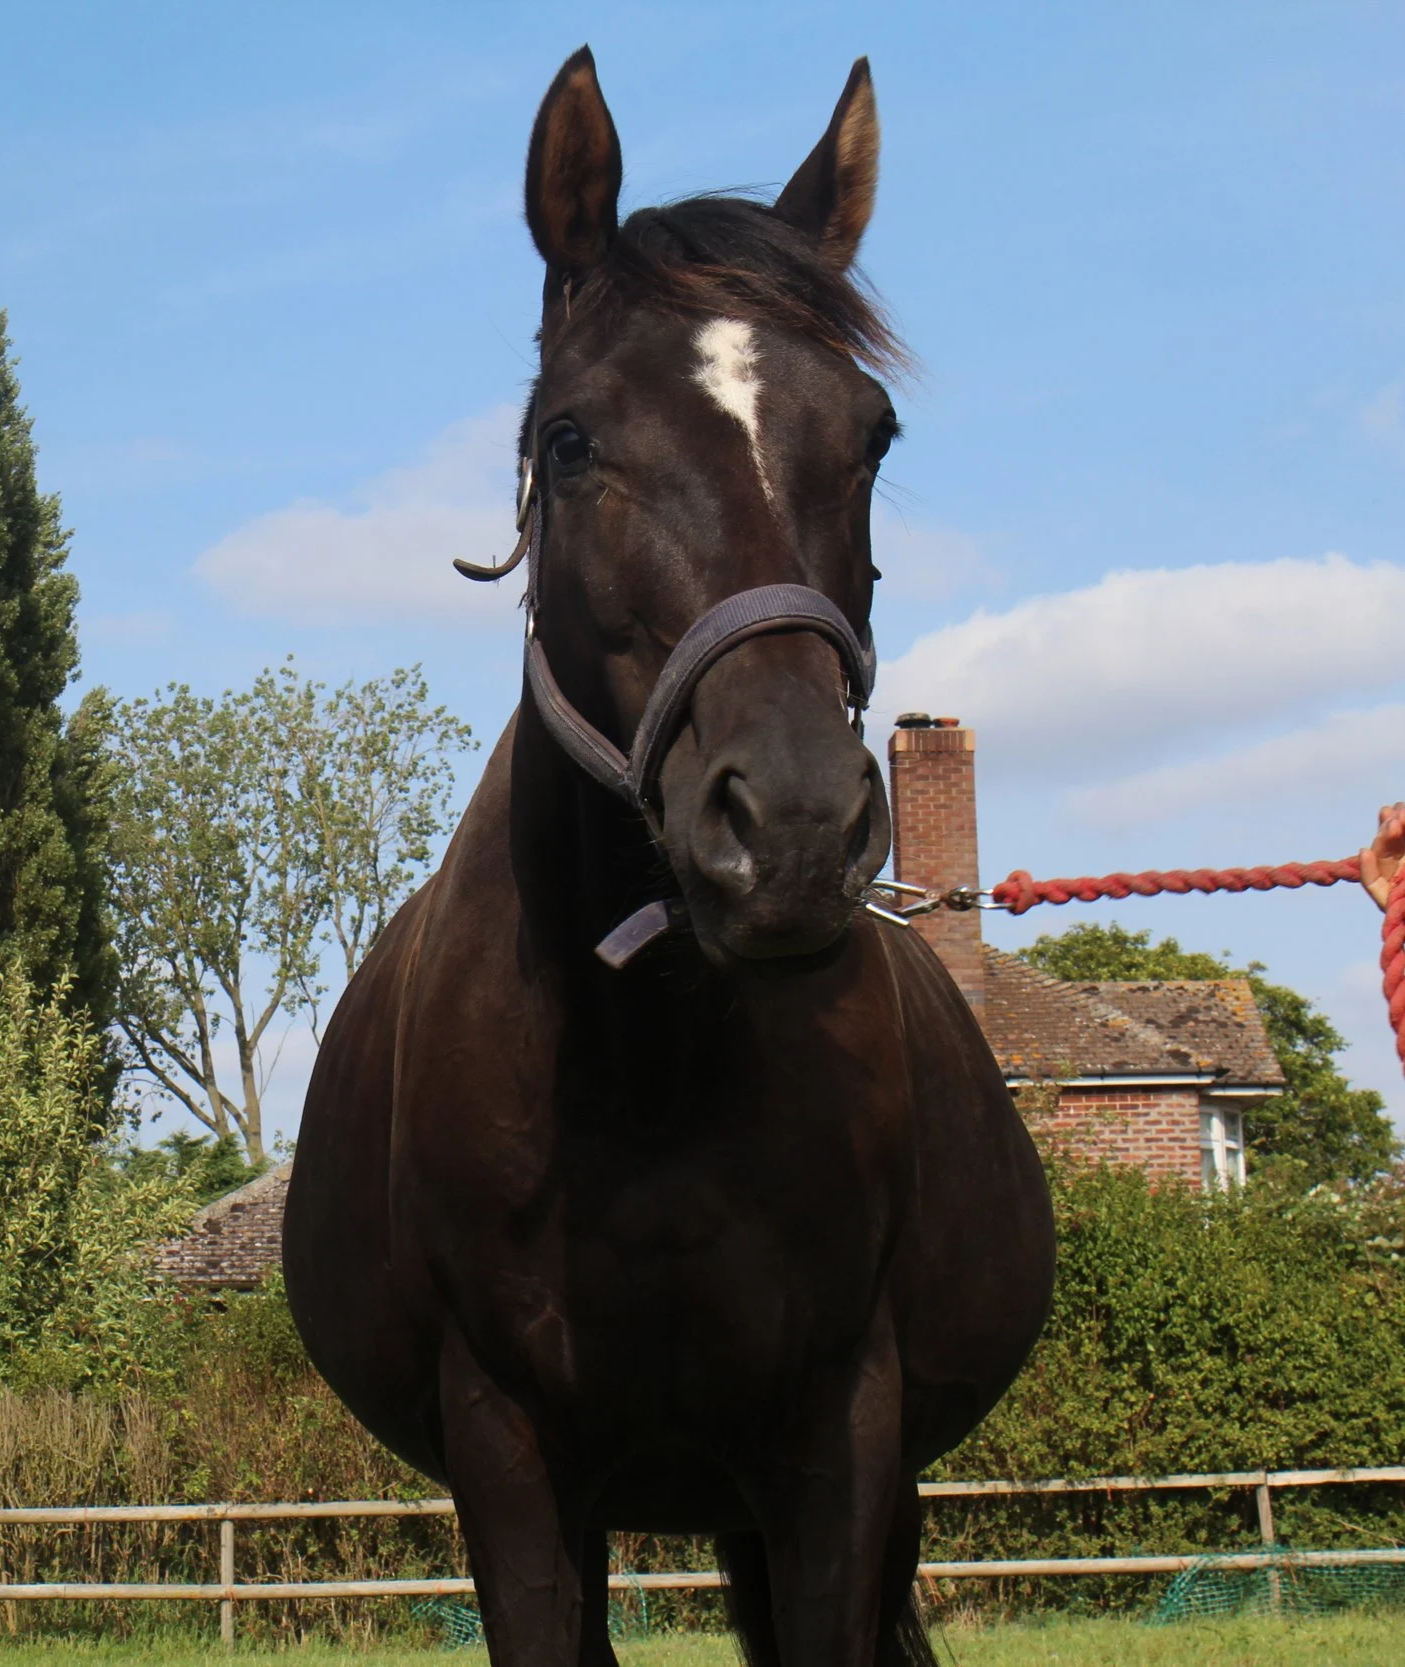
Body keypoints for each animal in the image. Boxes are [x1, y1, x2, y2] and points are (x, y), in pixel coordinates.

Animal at [283, 47, 1055, 1667]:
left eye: (872, 437)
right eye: (570, 440)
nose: (795, 826)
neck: (641, 1062)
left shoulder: (836, 1440)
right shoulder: (512, 1457)